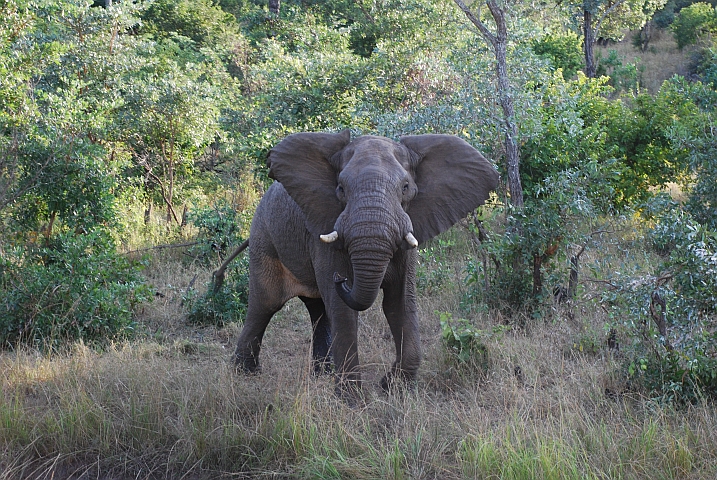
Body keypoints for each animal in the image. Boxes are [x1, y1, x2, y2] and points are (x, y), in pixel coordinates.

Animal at [234, 128, 498, 394]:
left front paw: (393, 387)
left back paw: (322, 375)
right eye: (340, 188)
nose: (341, 279)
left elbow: (399, 303)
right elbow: (343, 310)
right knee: (265, 304)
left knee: (318, 310)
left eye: (405, 187)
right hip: (263, 238)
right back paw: (245, 373)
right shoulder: (325, 226)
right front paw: (352, 398)